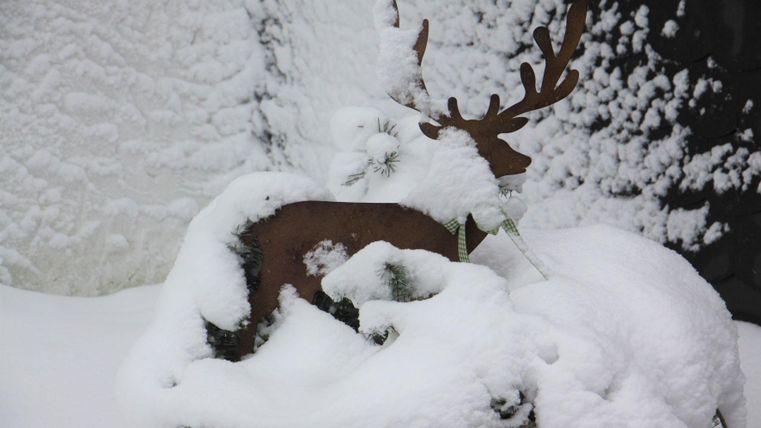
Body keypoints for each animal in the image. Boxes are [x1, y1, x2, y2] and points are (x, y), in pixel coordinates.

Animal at [207, 0, 588, 361]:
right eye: (498, 143)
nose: (525, 160)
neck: (443, 226)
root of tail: (255, 228)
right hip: (281, 278)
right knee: (246, 331)